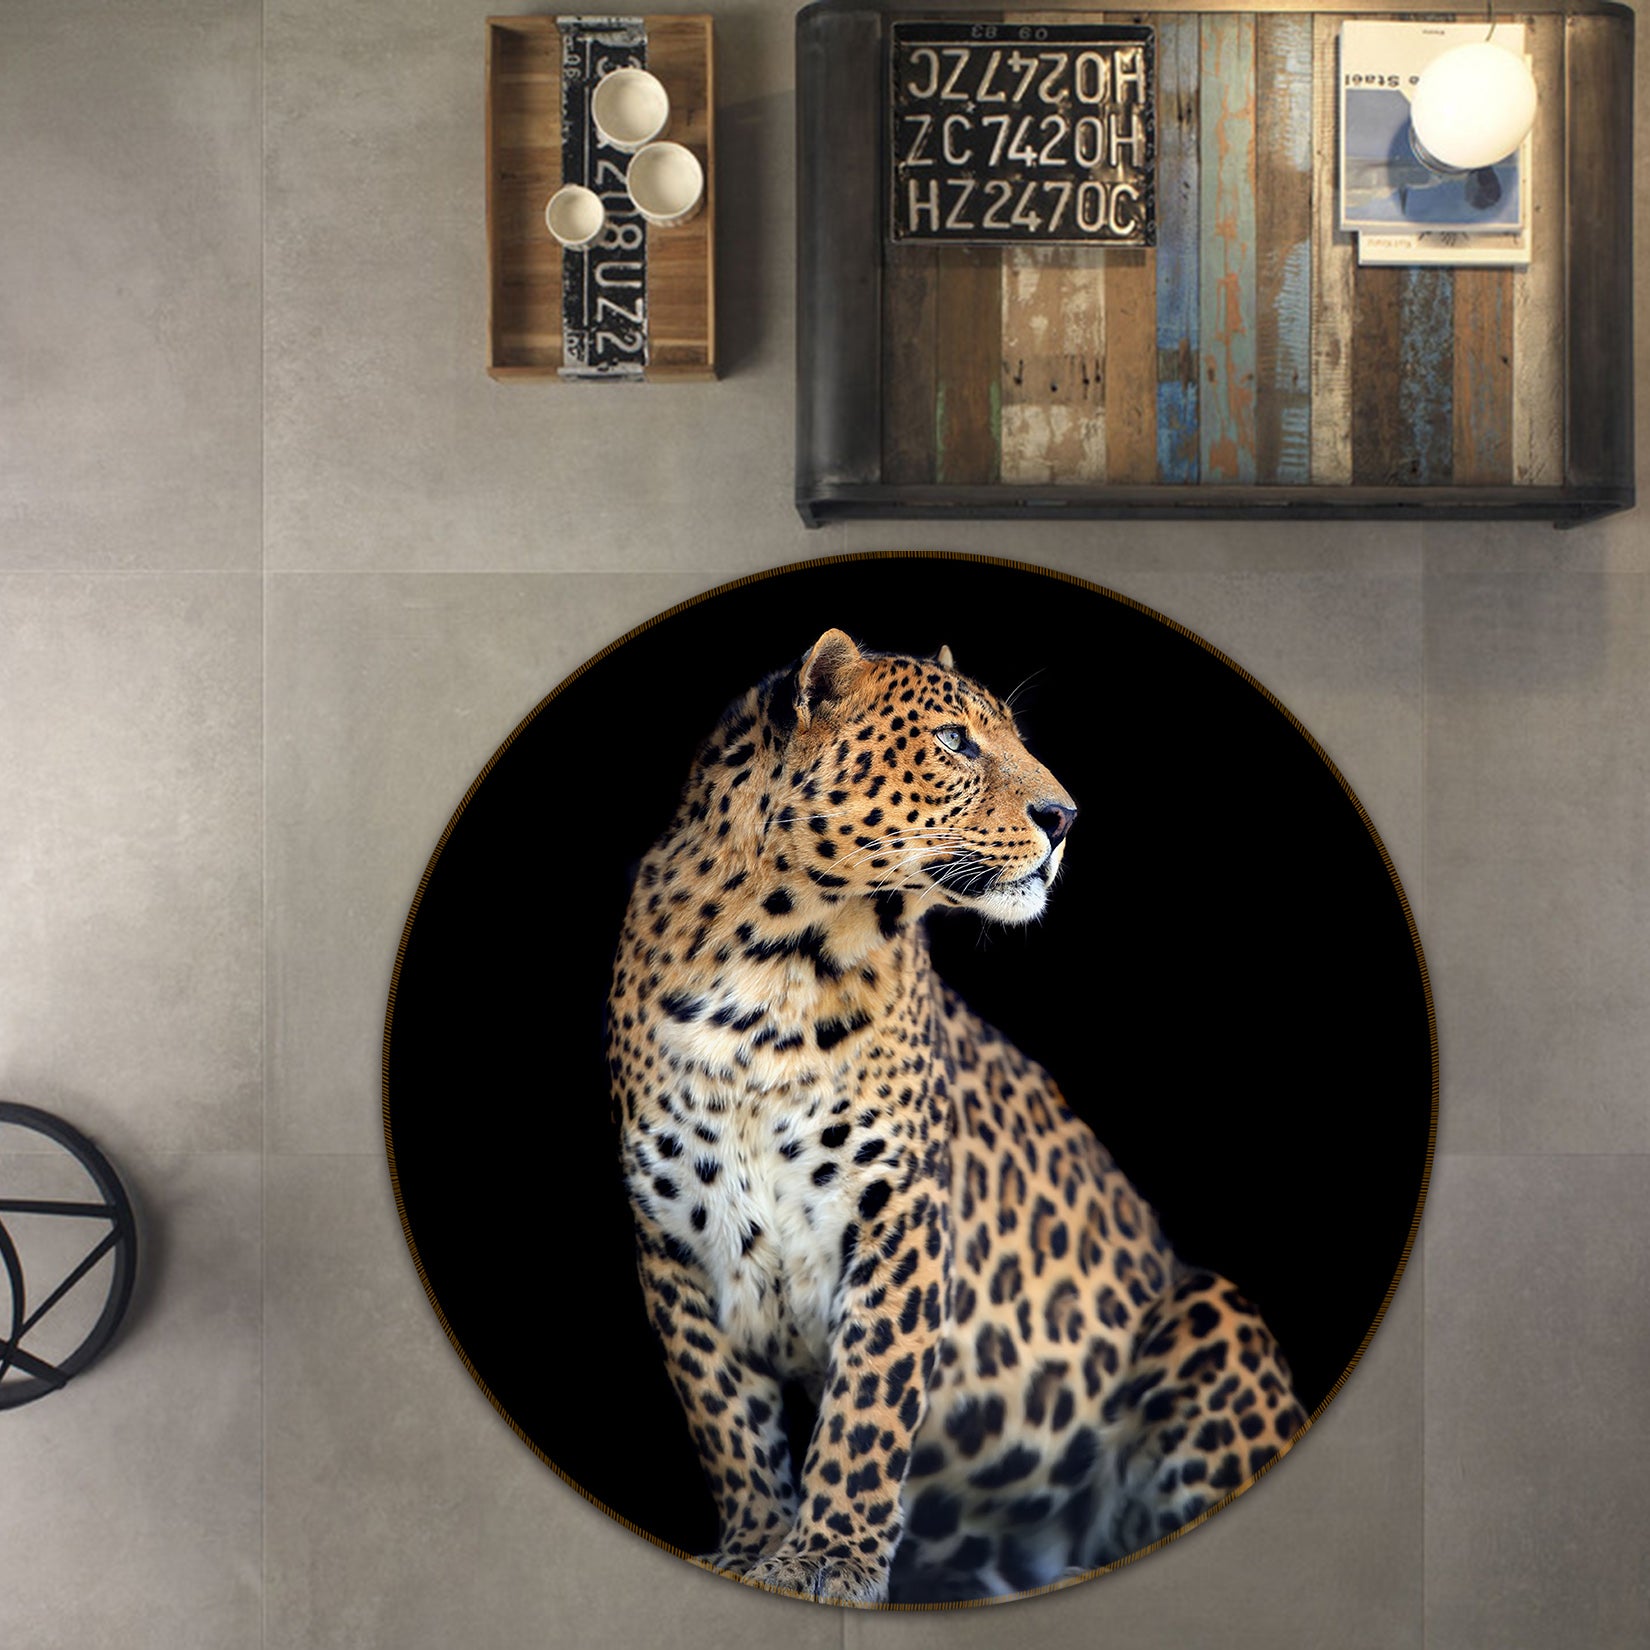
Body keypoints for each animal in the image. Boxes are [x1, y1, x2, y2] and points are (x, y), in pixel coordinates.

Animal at [605, 628, 1307, 1606]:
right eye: (953, 742)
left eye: (1011, 737)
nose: (1066, 816)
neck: (771, 967)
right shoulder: (672, 1233)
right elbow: (724, 1415)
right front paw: (753, 1549)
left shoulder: (898, 1208)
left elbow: (867, 1404)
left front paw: (827, 1557)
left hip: (1209, 1305)